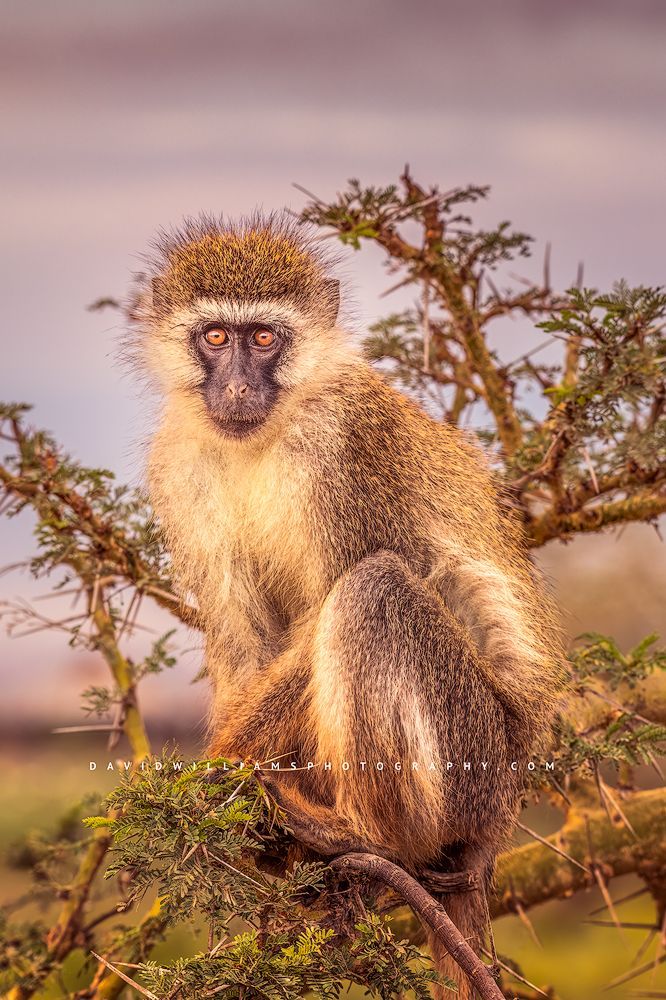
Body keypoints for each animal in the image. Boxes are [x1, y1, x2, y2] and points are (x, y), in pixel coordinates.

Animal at [128, 212, 563, 998]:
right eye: (217, 336)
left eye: (264, 338)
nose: (237, 387)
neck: (272, 429)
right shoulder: (178, 466)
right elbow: (243, 637)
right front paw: (233, 814)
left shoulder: (344, 445)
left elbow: (339, 592)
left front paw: (219, 773)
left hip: (472, 761)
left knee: (374, 588)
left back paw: (363, 834)